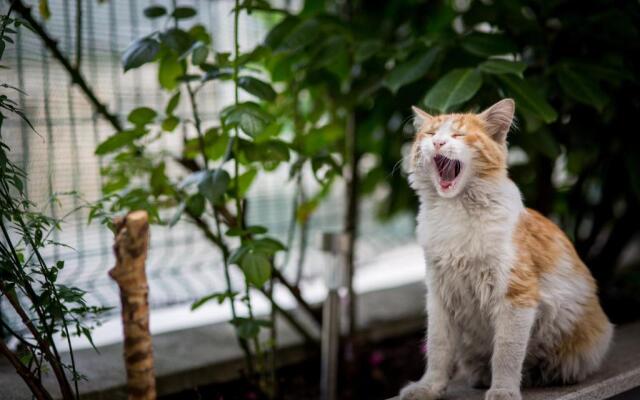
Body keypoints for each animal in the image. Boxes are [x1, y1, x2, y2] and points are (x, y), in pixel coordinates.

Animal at [400, 97, 616, 400]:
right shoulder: (440, 294)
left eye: (458, 135)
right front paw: (428, 387)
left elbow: (506, 353)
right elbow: (437, 349)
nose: (439, 143)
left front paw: (503, 390)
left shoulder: (516, 293)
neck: (455, 211)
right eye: (430, 134)